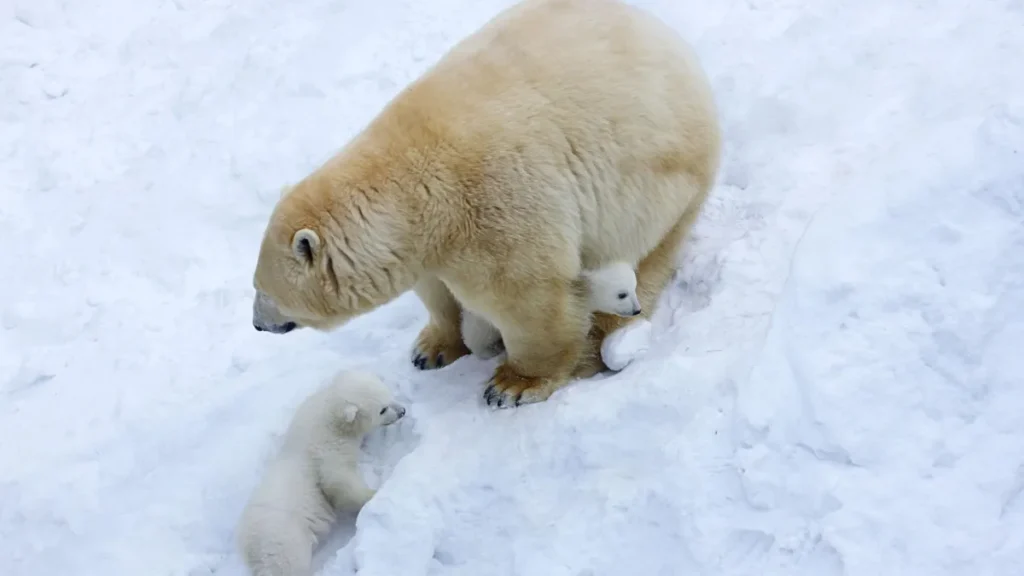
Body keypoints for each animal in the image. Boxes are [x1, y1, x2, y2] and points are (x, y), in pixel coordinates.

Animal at [236, 370, 406, 576]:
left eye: (388, 395)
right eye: (382, 409)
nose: (403, 411)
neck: (330, 416)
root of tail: (250, 545)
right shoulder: (326, 450)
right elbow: (339, 482)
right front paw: (374, 493)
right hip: (284, 539)